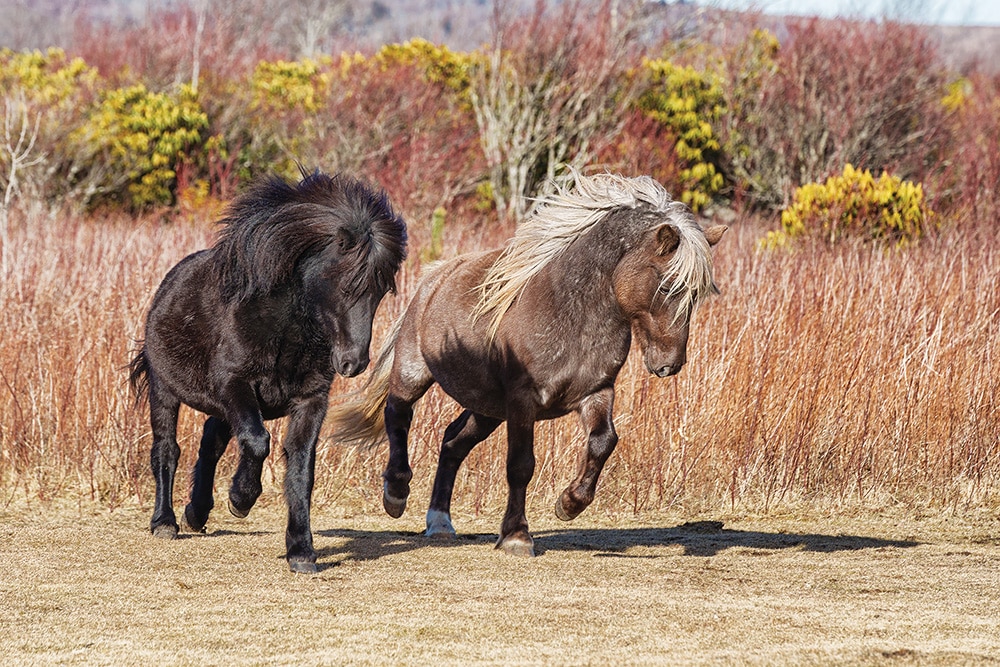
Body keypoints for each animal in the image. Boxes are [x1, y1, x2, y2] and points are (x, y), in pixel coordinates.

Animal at [129, 169, 407, 573]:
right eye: (345, 285)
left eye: (381, 291)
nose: (353, 362)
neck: (284, 329)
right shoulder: (235, 384)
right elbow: (258, 441)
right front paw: (241, 499)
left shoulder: (310, 402)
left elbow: (300, 469)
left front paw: (301, 551)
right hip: (165, 391)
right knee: (167, 449)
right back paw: (165, 521)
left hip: (221, 407)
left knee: (210, 442)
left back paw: (197, 513)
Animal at [330, 172, 725, 556]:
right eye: (668, 286)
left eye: (698, 293)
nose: (669, 364)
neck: (571, 312)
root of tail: (433, 278)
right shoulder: (523, 401)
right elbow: (521, 465)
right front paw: (517, 537)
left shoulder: (597, 392)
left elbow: (603, 442)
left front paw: (570, 503)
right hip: (414, 372)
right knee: (398, 414)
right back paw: (396, 494)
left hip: (487, 408)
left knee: (453, 442)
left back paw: (440, 523)